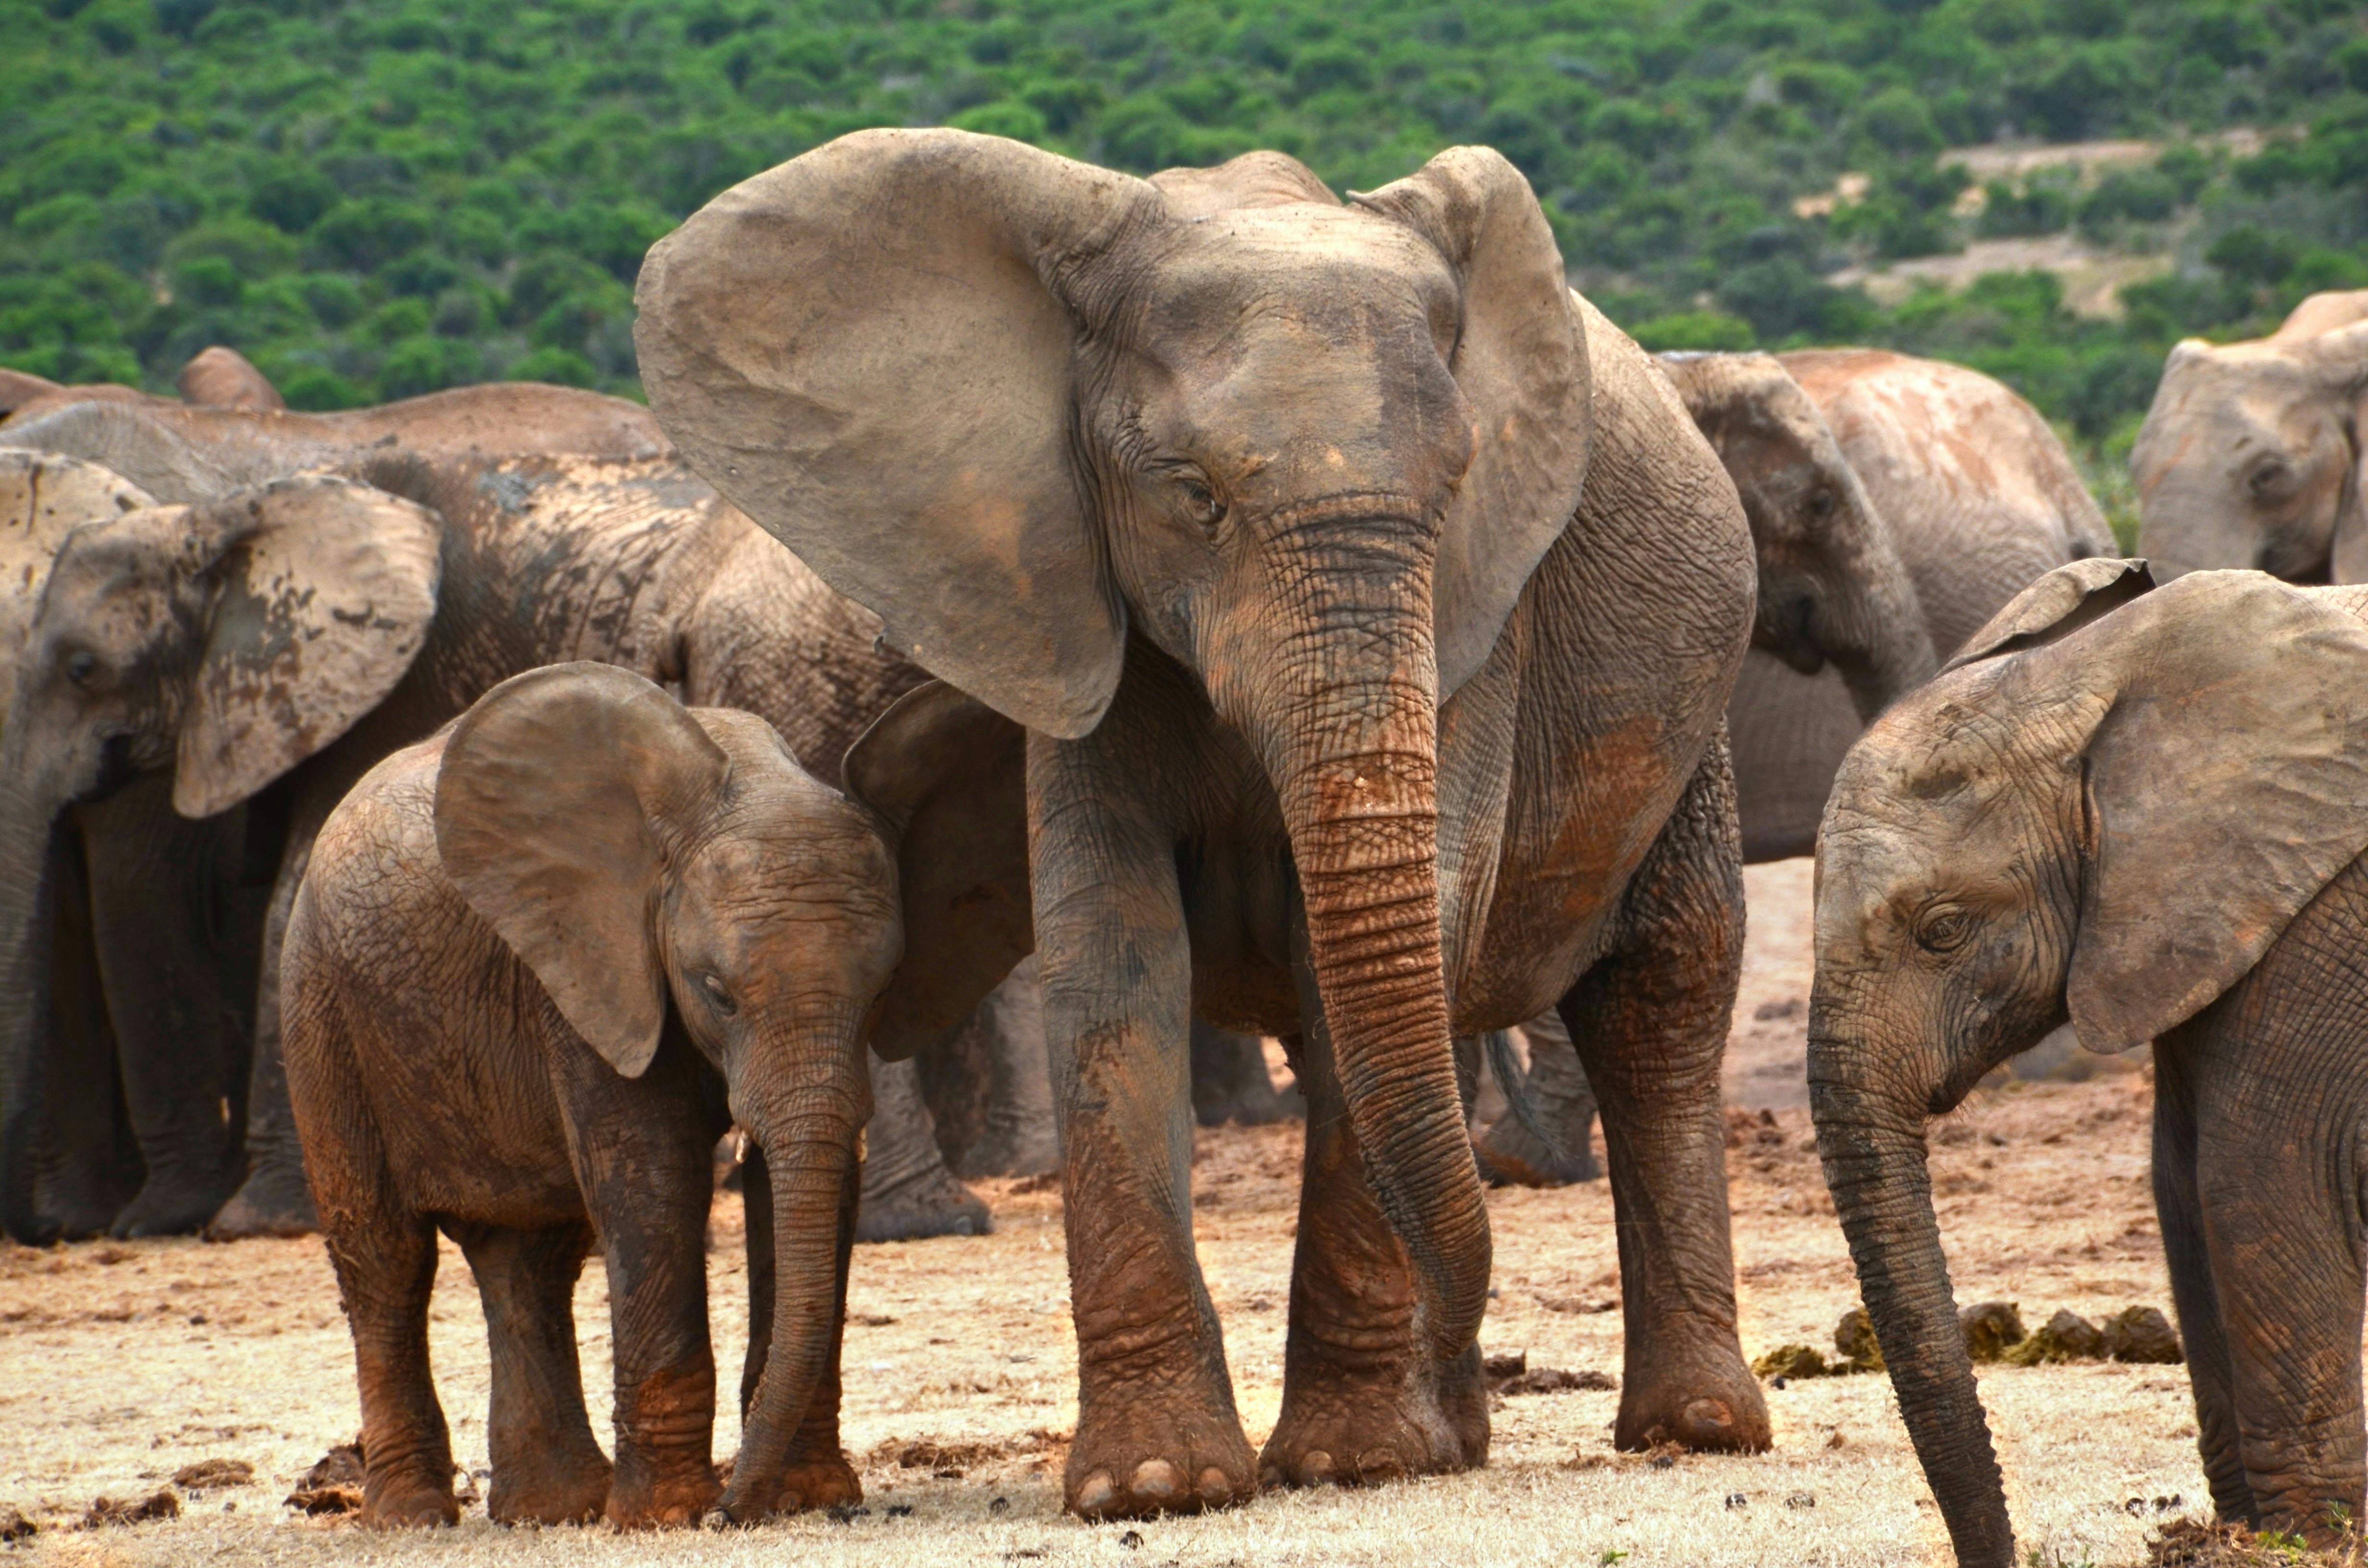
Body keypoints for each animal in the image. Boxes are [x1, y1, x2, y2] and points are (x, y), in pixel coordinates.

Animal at [282, 668, 1023, 1534]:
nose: (733, 1510)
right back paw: (413, 1517)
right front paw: (668, 1516)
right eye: (715, 991)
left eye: (882, 989)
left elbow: (817, 1185)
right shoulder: (590, 970)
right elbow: (653, 1177)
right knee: (384, 1255)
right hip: (319, 1007)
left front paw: (803, 1498)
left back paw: (552, 1511)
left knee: (529, 1258)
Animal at [639, 129, 1771, 1516]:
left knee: (1663, 994)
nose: (1479, 1372)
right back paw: (1466, 1433)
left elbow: (1373, 972)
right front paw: (1158, 1484)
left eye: (1459, 485)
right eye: (1192, 494)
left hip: (1697, 719)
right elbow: (1115, 959)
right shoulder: (1069, 595)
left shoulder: (1481, 619)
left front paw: (1352, 1462)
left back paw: (1688, 1428)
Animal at [1809, 559, 2368, 1563]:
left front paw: (2308, 1540)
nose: (2006, 1553)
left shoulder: (2325, 908)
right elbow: (2180, 1180)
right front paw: (2237, 1533)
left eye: (1941, 929)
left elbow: (2262, 1175)